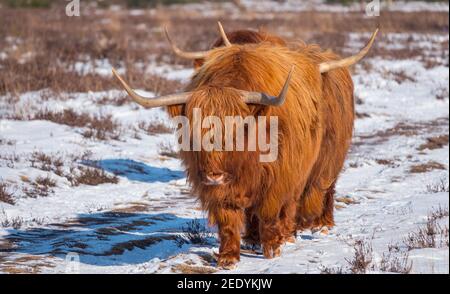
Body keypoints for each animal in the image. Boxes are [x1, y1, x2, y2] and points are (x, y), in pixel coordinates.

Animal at [111, 22, 376, 266]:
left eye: (236, 130)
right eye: (194, 130)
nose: (214, 174)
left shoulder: (278, 178)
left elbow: (270, 213)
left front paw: (273, 249)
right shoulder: (219, 189)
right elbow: (228, 220)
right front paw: (228, 258)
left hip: (327, 159)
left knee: (321, 190)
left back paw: (317, 227)